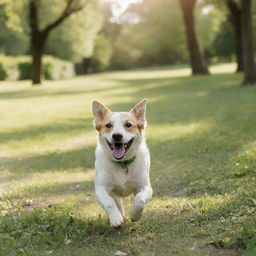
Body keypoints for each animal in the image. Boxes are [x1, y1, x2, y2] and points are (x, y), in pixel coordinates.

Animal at [92, 99, 152, 227]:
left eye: (128, 125)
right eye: (108, 125)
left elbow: (140, 199)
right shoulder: (101, 189)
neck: (122, 163)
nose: (117, 136)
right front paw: (115, 218)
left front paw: (135, 215)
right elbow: (109, 203)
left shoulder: (145, 187)